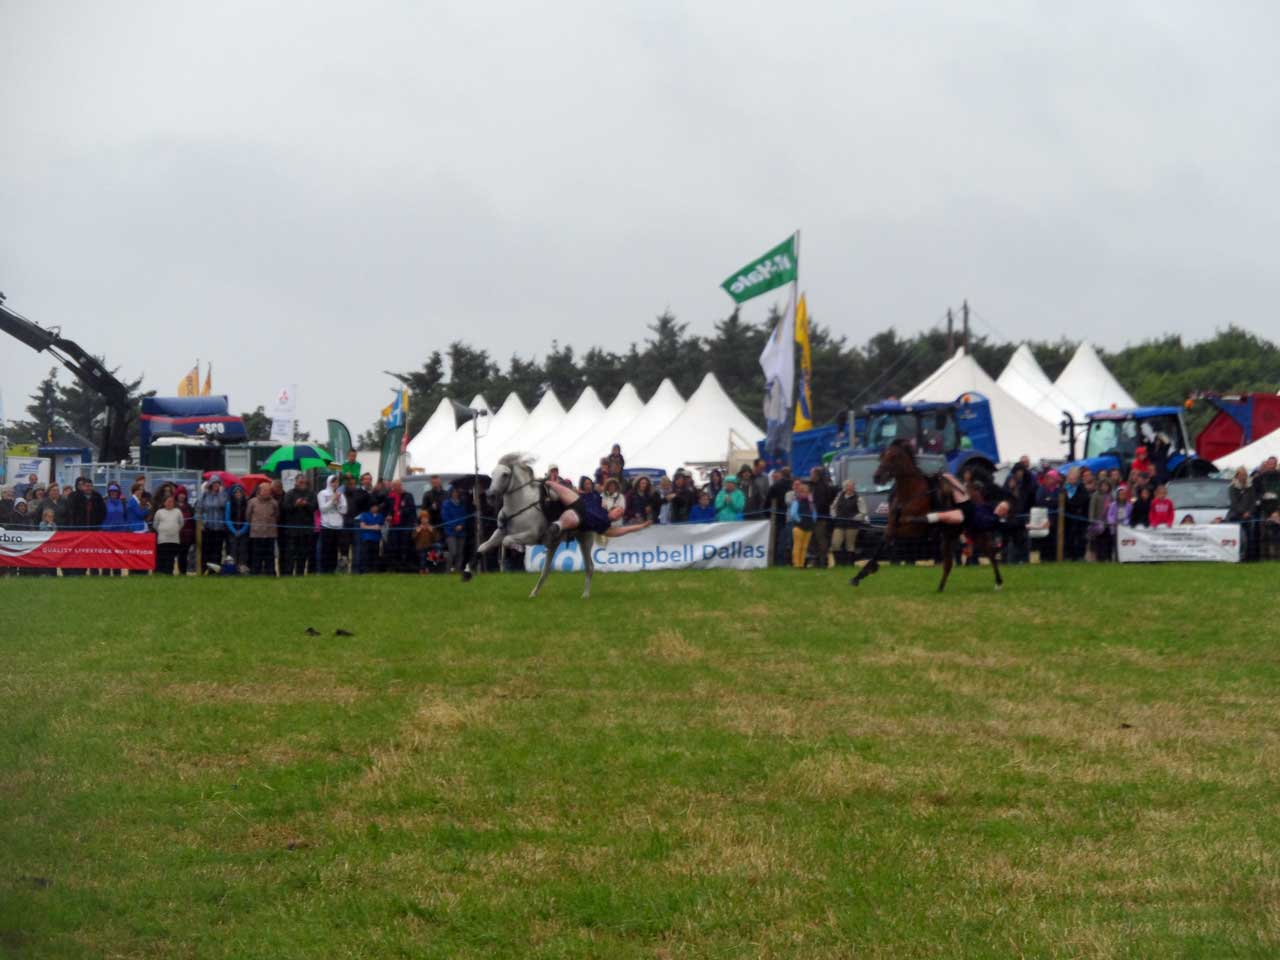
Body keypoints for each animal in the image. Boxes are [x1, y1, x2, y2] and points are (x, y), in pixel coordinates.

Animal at [463, 453, 596, 601]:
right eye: (492, 473)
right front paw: (467, 572)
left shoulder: (530, 535)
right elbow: (482, 547)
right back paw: (533, 593)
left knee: (589, 567)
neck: (519, 505)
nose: (490, 496)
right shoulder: (500, 533)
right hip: (555, 543)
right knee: (546, 571)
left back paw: (585, 595)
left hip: (585, 539)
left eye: (505, 474)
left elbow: (507, 541)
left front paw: (517, 549)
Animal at [849, 442, 998, 593]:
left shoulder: (912, 530)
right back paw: (940, 589)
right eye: (882, 455)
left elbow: (888, 537)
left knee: (989, 552)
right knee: (949, 563)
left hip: (974, 531)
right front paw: (861, 574)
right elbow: (883, 540)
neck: (909, 494)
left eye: (893, 456)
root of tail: (976, 492)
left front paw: (868, 570)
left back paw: (998, 582)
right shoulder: (891, 525)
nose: (877, 477)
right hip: (949, 535)